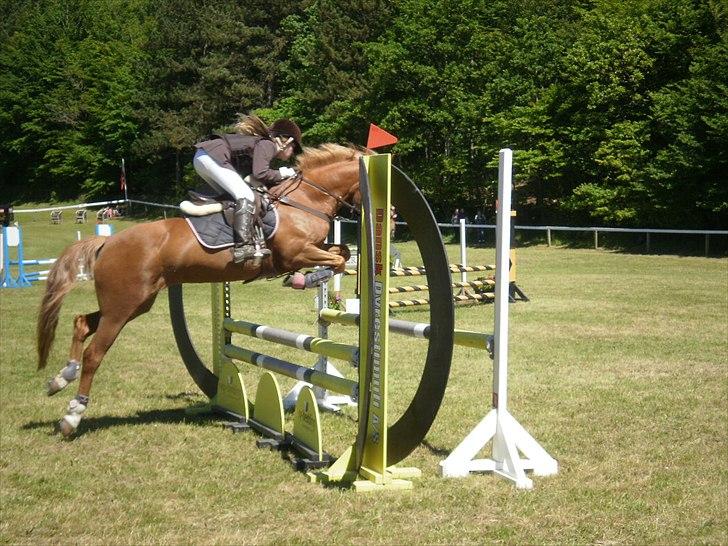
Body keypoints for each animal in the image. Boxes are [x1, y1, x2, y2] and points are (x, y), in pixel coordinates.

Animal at [37, 143, 367, 437]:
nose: (379, 219)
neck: (305, 199)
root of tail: (108, 243)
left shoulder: (312, 249)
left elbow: (342, 252)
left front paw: (308, 279)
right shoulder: (296, 253)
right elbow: (338, 259)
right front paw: (304, 280)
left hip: (131, 303)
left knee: (82, 322)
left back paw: (60, 379)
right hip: (122, 306)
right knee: (94, 353)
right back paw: (72, 416)